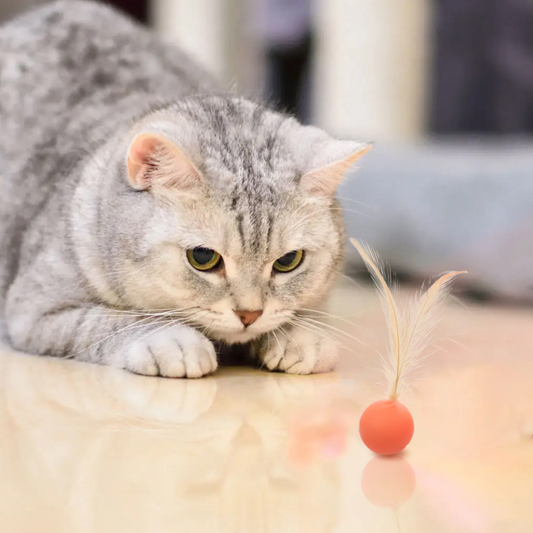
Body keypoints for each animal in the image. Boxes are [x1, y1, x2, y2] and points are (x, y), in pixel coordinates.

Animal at [0, 0, 368, 376]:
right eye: (203, 258)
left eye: (288, 261)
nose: (249, 314)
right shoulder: (34, 310)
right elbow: (112, 320)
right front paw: (171, 340)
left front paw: (301, 337)